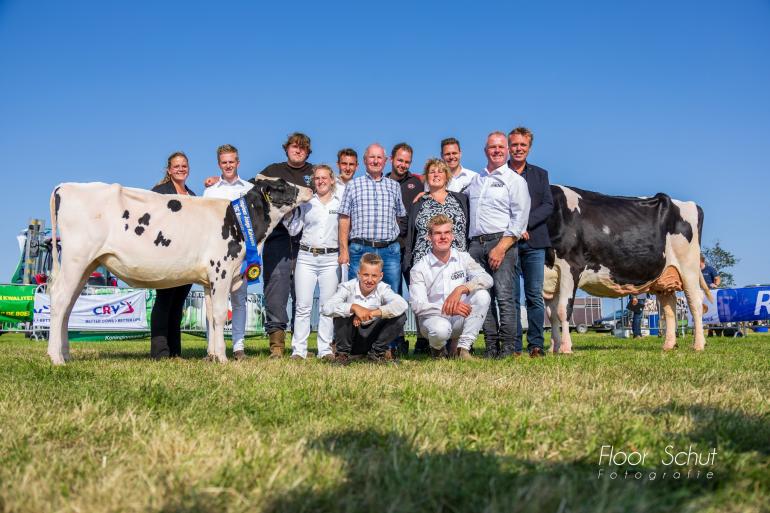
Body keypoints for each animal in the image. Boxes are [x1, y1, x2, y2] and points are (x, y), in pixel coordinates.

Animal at [47, 176, 312, 364]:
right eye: (282, 185)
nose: (309, 188)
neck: (239, 220)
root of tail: (64, 186)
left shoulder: (208, 280)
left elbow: (209, 318)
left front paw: (211, 356)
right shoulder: (222, 271)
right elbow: (218, 315)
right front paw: (222, 358)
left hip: (86, 265)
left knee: (68, 306)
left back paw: (66, 354)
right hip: (76, 259)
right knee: (59, 300)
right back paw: (55, 357)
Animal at [540, 187, 712, 352]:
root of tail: (690, 204)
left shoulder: (571, 266)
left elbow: (563, 310)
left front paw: (565, 348)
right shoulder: (549, 277)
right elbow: (551, 315)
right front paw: (553, 348)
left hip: (689, 268)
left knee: (695, 303)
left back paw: (698, 345)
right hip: (664, 277)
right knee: (669, 307)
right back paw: (668, 345)